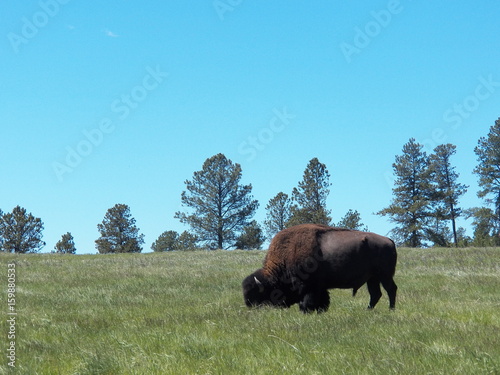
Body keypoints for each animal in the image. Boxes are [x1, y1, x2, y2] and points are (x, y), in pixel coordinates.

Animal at [242, 223, 398, 314]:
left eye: (258, 294)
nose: (251, 308)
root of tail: (389, 241)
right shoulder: (320, 288)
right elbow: (323, 300)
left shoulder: (309, 287)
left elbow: (306, 302)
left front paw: (306, 311)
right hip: (373, 278)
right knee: (376, 294)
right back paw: (368, 311)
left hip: (384, 275)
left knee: (390, 289)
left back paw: (391, 310)